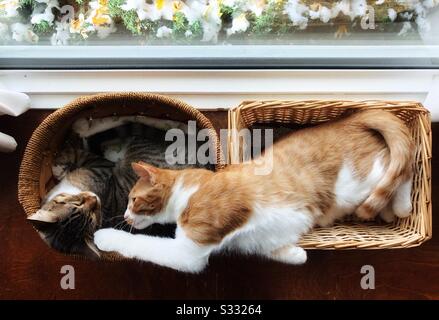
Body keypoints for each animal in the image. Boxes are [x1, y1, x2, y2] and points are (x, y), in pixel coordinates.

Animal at [93, 110, 416, 272]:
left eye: (133, 199)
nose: (124, 215)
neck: (191, 189)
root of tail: (351, 118)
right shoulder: (257, 240)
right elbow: (269, 248)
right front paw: (295, 254)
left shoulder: (188, 252)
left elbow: (142, 245)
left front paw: (105, 236)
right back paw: (389, 212)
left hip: (362, 179)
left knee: (402, 164)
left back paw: (401, 205)